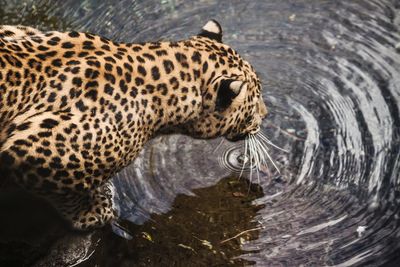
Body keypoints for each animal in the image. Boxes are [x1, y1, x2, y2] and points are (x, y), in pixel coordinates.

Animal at [0, 20, 268, 230]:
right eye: (255, 103)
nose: (265, 115)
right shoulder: (34, 150)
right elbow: (66, 191)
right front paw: (92, 212)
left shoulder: (16, 30)